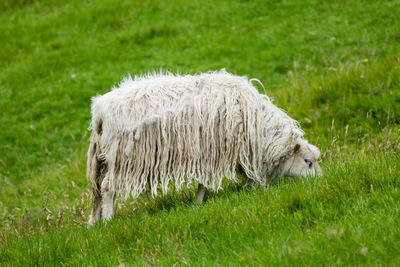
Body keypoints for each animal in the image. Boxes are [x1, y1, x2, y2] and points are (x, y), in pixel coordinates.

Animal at [86, 70, 322, 225]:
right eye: (308, 162)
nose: (320, 181)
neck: (259, 125)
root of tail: (99, 111)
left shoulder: (209, 154)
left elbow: (204, 182)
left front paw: (198, 204)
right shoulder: (222, 151)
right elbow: (214, 180)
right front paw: (253, 190)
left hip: (103, 158)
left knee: (97, 190)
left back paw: (93, 223)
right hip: (122, 159)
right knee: (107, 188)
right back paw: (108, 220)